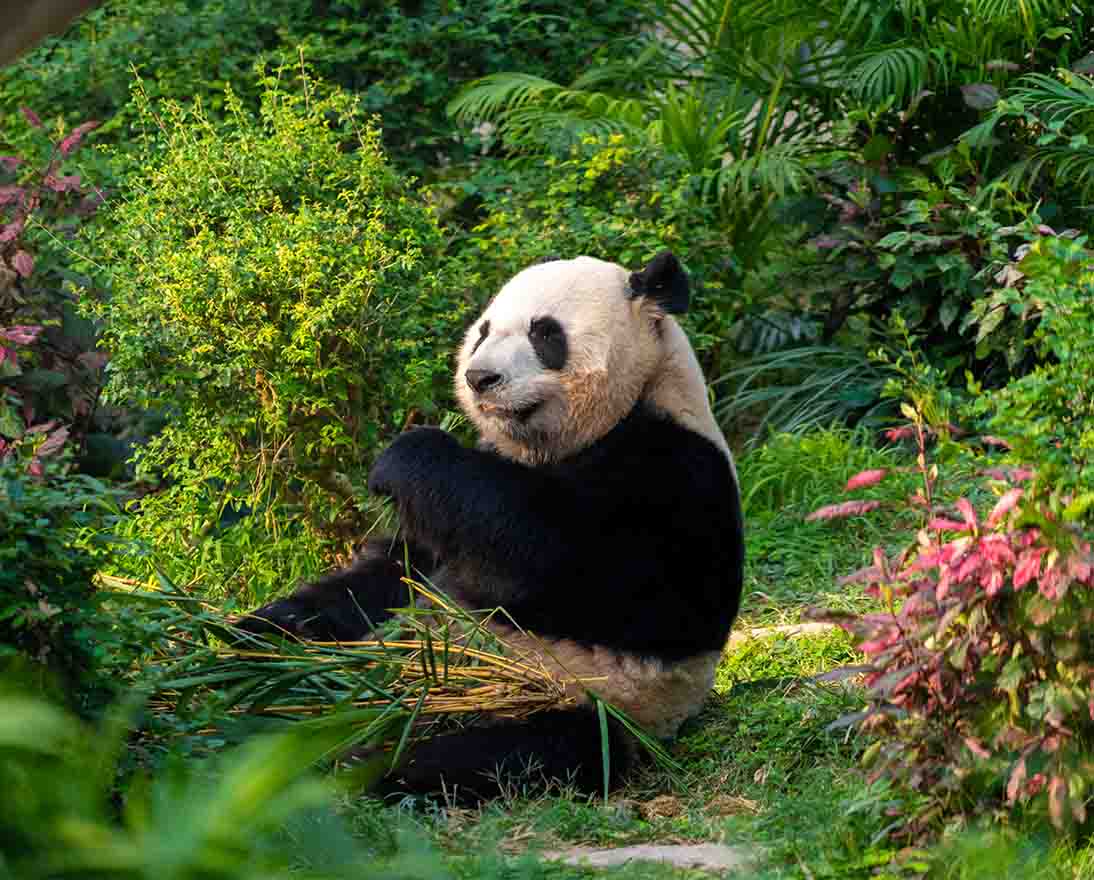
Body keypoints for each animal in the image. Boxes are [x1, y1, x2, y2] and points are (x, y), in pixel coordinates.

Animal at [240, 251, 744, 801]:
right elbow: (400, 570)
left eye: (545, 333)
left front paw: (406, 455)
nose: (480, 378)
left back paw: (361, 761)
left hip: (576, 701)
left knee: (511, 751)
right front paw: (262, 624)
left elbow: (596, 576)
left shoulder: (673, 466)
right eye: (483, 332)